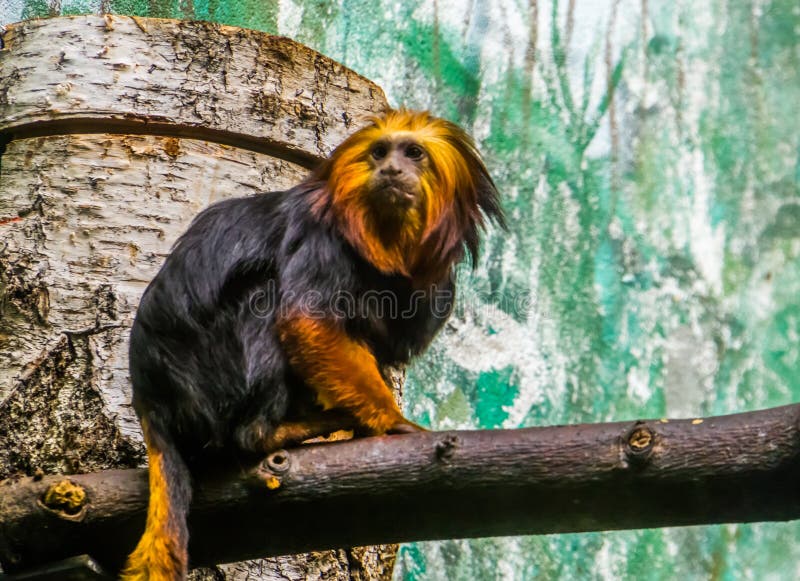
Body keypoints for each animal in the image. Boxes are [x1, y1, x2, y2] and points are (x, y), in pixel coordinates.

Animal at [121, 110, 504, 580]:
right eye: (380, 152)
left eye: (413, 153)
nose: (390, 170)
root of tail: (149, 396)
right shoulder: (322, 239)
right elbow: (307, 320)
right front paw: (393, 422)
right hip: (207, 376)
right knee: (264, 301)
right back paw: (279, 430)